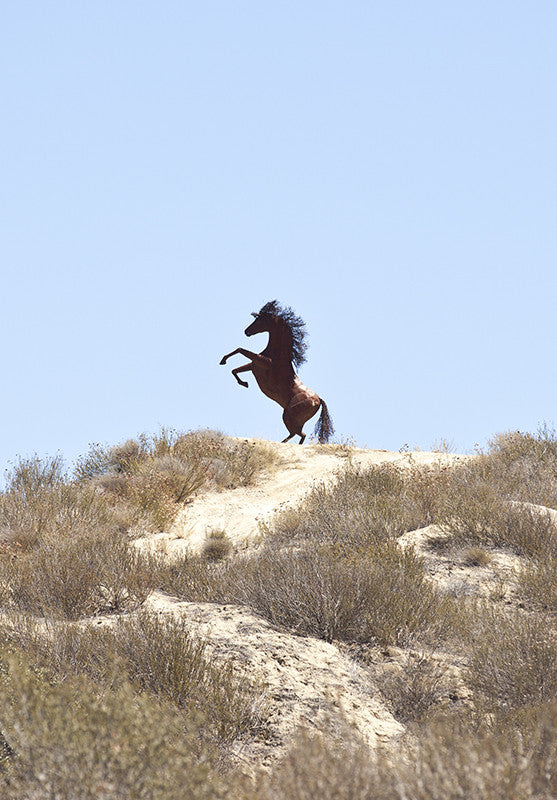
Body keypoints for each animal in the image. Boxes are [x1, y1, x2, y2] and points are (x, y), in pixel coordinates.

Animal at [220, 300, 334, 444]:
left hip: (289, 416)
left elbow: (240, 349)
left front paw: (223, 361)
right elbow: (235, 370)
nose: (246, 331)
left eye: (260, 320)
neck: (277, 355)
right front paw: (243, 383)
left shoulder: (262, 362)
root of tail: (319, 400)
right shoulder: (254, 366)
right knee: (299, 434)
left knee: (299, 434)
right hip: (293, 419)